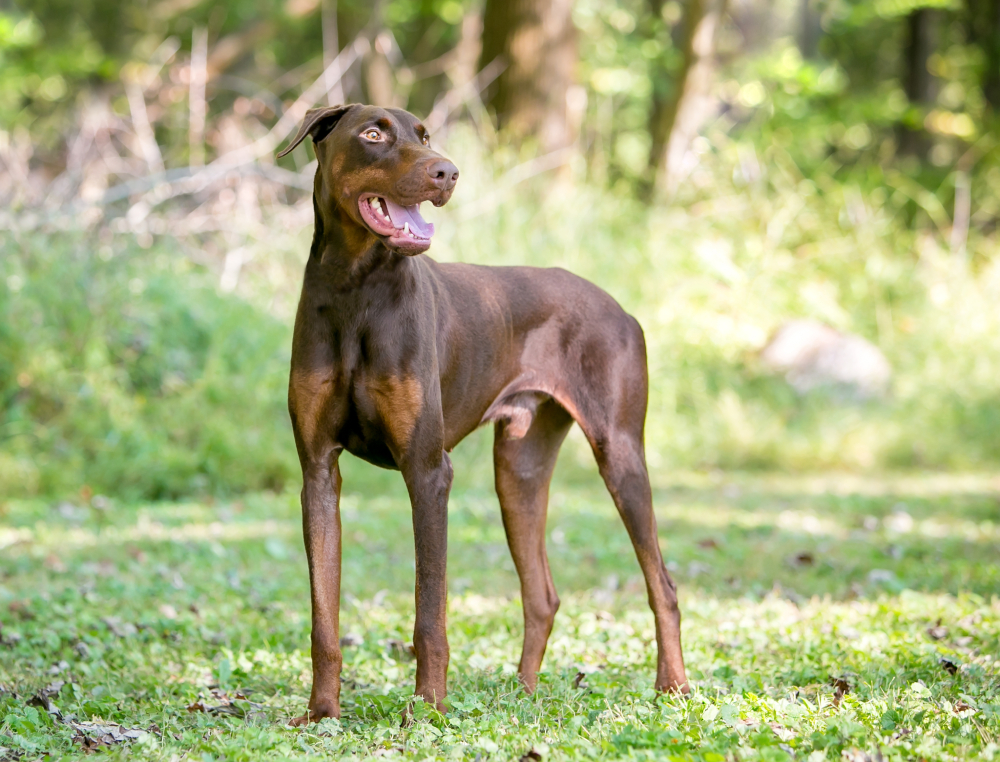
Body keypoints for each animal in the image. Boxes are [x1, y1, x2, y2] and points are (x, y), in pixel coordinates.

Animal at [280, 104, 688, 720]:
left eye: (424, 135)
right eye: (373, 134)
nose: (446, 172)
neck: (356, 290)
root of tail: (621, 308)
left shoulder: (427, 471)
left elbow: (430, 613)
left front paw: (427, 709)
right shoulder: (318, 473)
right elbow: (323, 615)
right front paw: (322, 712)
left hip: (619, 452)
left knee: (662, 582)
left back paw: (673, 688)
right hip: (518, 470)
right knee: (542, 596)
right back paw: (523, 694)